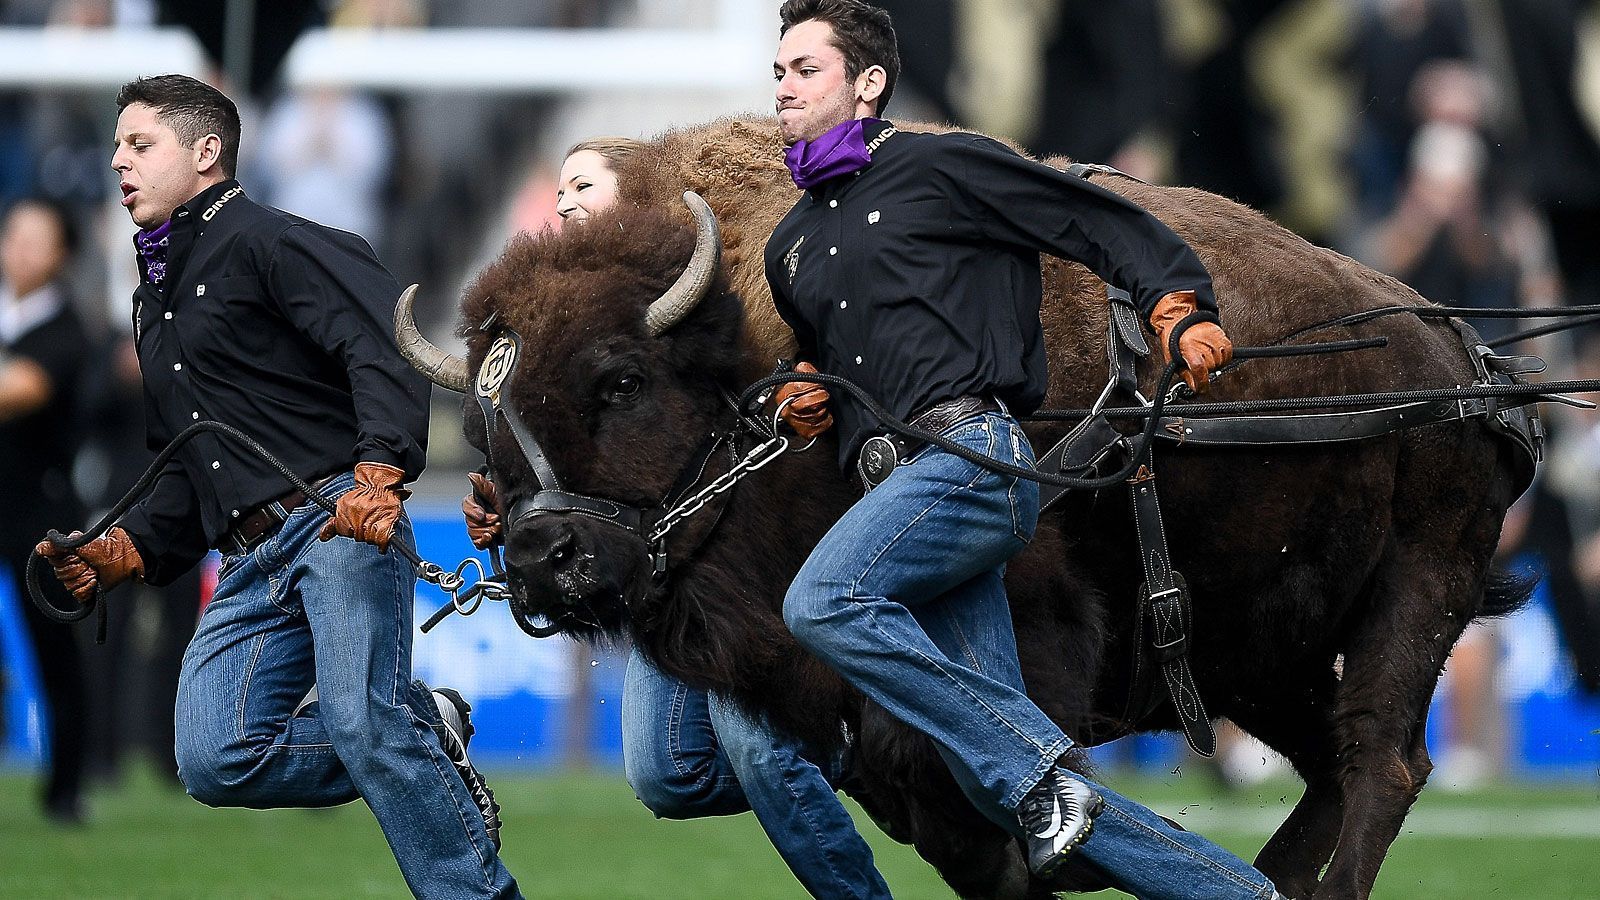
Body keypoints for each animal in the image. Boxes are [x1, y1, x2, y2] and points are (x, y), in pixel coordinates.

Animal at [396, 119, 1536, 896]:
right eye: (485, 416)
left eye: (620, 379)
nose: (543, 558)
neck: (759, 365)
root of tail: (1459, 356)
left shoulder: (1011, 642)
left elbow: (968, 769)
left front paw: (1065, 849)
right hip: (1262, 652)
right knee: (1333, 765)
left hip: (1412, 592)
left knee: (1381, 759)